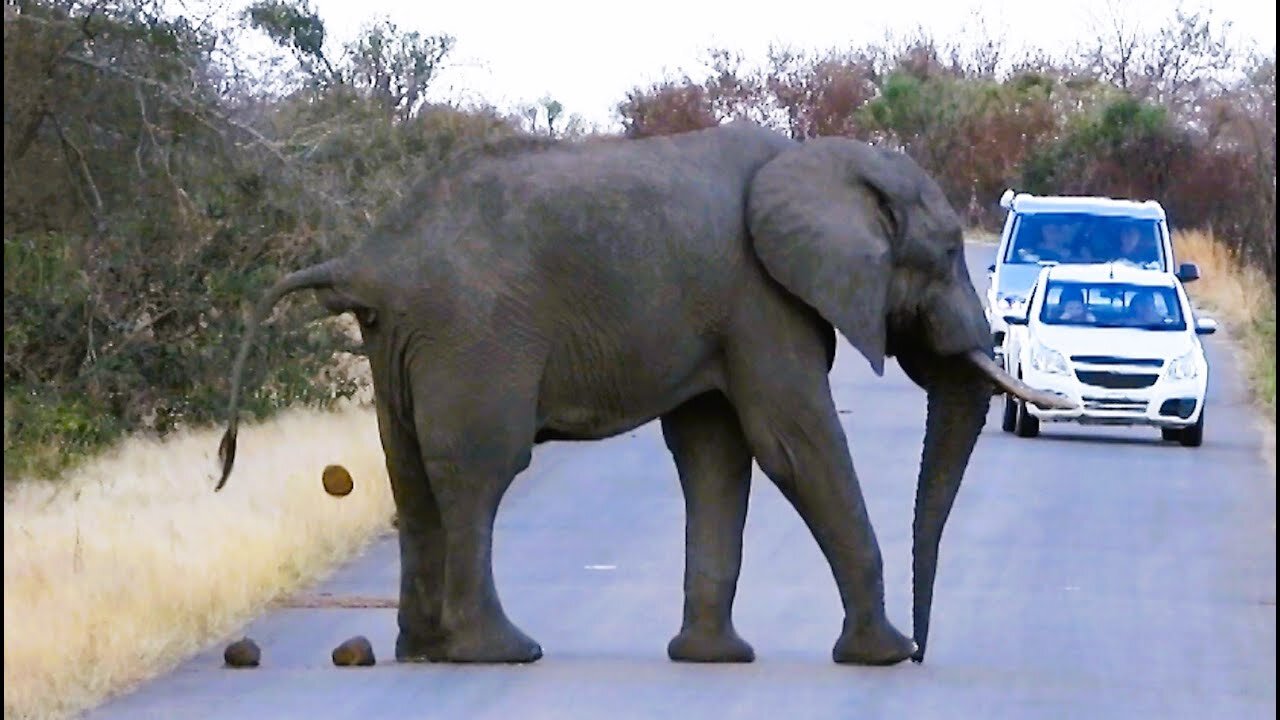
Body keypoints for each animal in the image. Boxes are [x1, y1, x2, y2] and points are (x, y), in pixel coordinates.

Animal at [215, 120, 1064, 666]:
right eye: (949, 253)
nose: (923, 651)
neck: (823, 161)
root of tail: (372, 258)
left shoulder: (723, 312)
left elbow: (715, 453)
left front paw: (713, 659)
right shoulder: (761, 299)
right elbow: (792, 443)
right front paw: (876, 657)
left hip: (398, 340)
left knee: (411, 475)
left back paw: (420, 653)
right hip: (474, 334)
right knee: (481, 472)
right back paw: (500, 653)